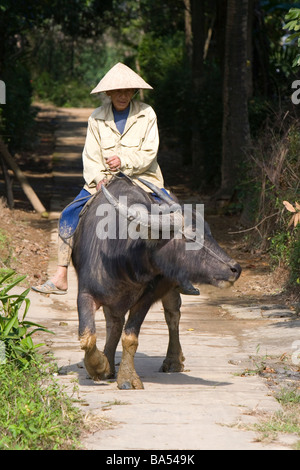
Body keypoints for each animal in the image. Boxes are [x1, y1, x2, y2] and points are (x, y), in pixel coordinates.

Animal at [71, 173, 241, 390]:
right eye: (191, 237)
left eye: (210, 233)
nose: (235, 268)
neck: (120, 258)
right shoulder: (85, 293)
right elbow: (88, 337)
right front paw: (100, 366)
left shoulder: (146, 297)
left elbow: (130, 337)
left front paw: (126, 378)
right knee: (114, 324)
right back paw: (108, 361)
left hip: (171, 289)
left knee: (172, 316)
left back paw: (173, 361)